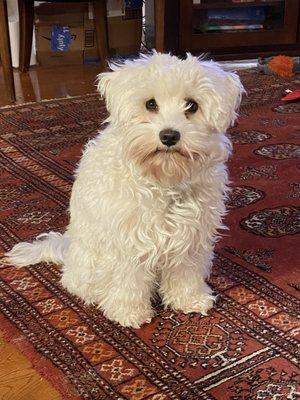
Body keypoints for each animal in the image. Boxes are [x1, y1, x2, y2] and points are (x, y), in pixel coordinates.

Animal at [5, 52, 244, 328]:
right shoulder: (128, 242)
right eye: (150, 104)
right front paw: (128, 313)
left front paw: (189, 299)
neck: (163, 179)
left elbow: (186, 272)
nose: (169, 136)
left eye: (192, 105)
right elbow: (128, 280)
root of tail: (68, 250)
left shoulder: (192, 236)